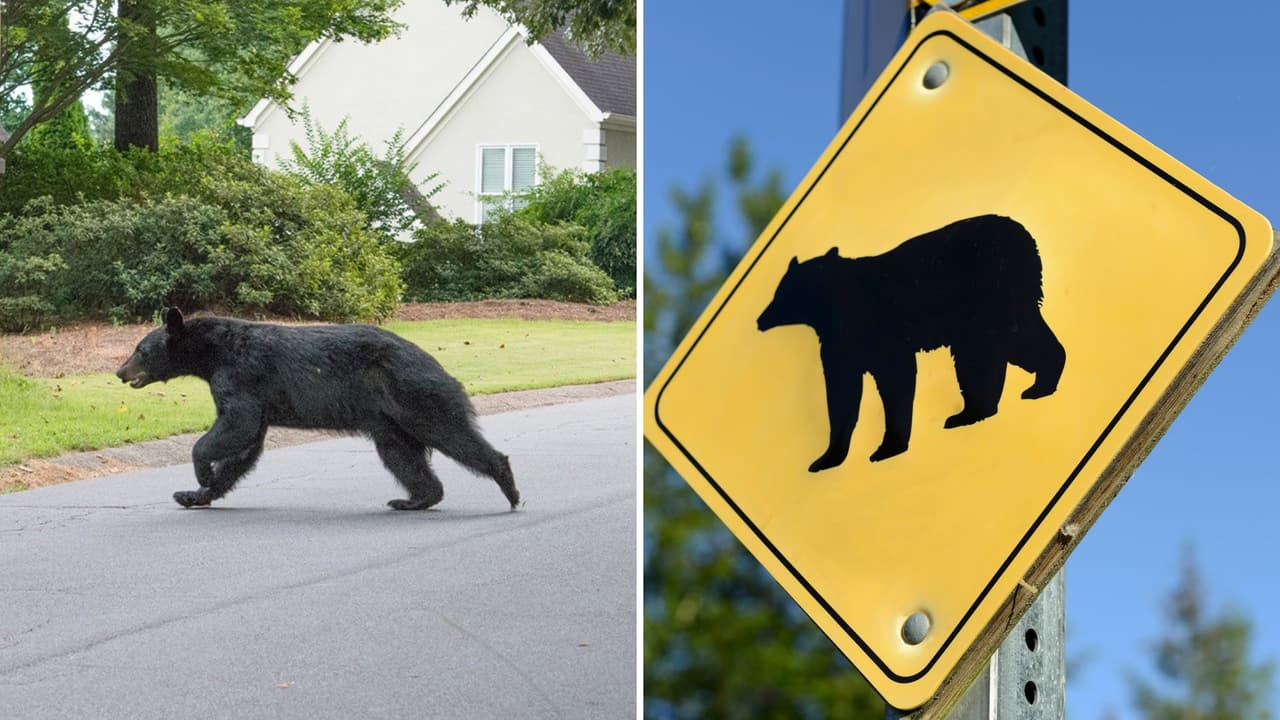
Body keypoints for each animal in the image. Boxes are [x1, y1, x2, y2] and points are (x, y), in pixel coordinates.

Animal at [114, 308, 519, 511]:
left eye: (140, 350)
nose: (119, 371)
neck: (214, 352)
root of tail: (439, 366)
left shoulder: (243, 374)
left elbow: (236, 425)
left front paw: (201, 471)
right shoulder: (252, 391)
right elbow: (245, 445)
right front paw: (194, 493)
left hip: (414, 395)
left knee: (451, 433)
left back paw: (508, 484)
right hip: (389, 421)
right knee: (401, 455)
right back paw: (415, 499)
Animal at [756, 214, 1066, 473]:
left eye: (782, 292)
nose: (760, 319)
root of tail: (1025, 237)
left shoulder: (873, 333)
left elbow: (891, 379)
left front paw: (886, 447)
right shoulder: (844, 346)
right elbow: (844, 390)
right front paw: (828, 458)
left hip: (991, 295)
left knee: (1000, 345)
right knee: (997, 349)